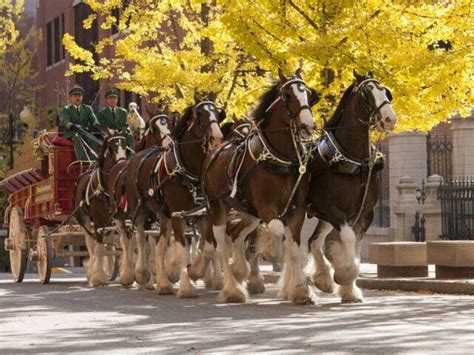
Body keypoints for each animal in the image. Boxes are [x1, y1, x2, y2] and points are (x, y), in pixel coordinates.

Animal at [71, 132, 130, 288]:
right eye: (111, 148)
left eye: (125, 147)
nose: (122, 165)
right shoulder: (97, 221)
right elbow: (98, 248)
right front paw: (97, 277)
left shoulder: (120, 218)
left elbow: (124, 243)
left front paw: (126, 275)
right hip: (84, 220)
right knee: (91, 246)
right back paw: (92, 270)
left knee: (107, 245)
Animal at [196, 68, 318, 304]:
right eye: (287, 95)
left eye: (308, 94)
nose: (308, 125)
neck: (280, 158)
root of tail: (213, 153)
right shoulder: (266, 207)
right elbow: (278, 233)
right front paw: (272, 255)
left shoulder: (297, 209)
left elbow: (294, 248)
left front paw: (300, 290)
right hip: (217, 209)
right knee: (221, 246)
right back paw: (232, 289)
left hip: (249, 212)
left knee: (235, 235)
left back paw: (239, 271)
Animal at [308, 71, 396, 304]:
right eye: (367, 93)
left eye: (385, 92)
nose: (389, 119)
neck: (355, 159)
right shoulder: (333, 210)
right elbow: (348, 238)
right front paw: (344, 274)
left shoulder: (366, 212)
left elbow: (355, 244)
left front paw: (349, 289)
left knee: (313, 241)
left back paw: (322, 279)